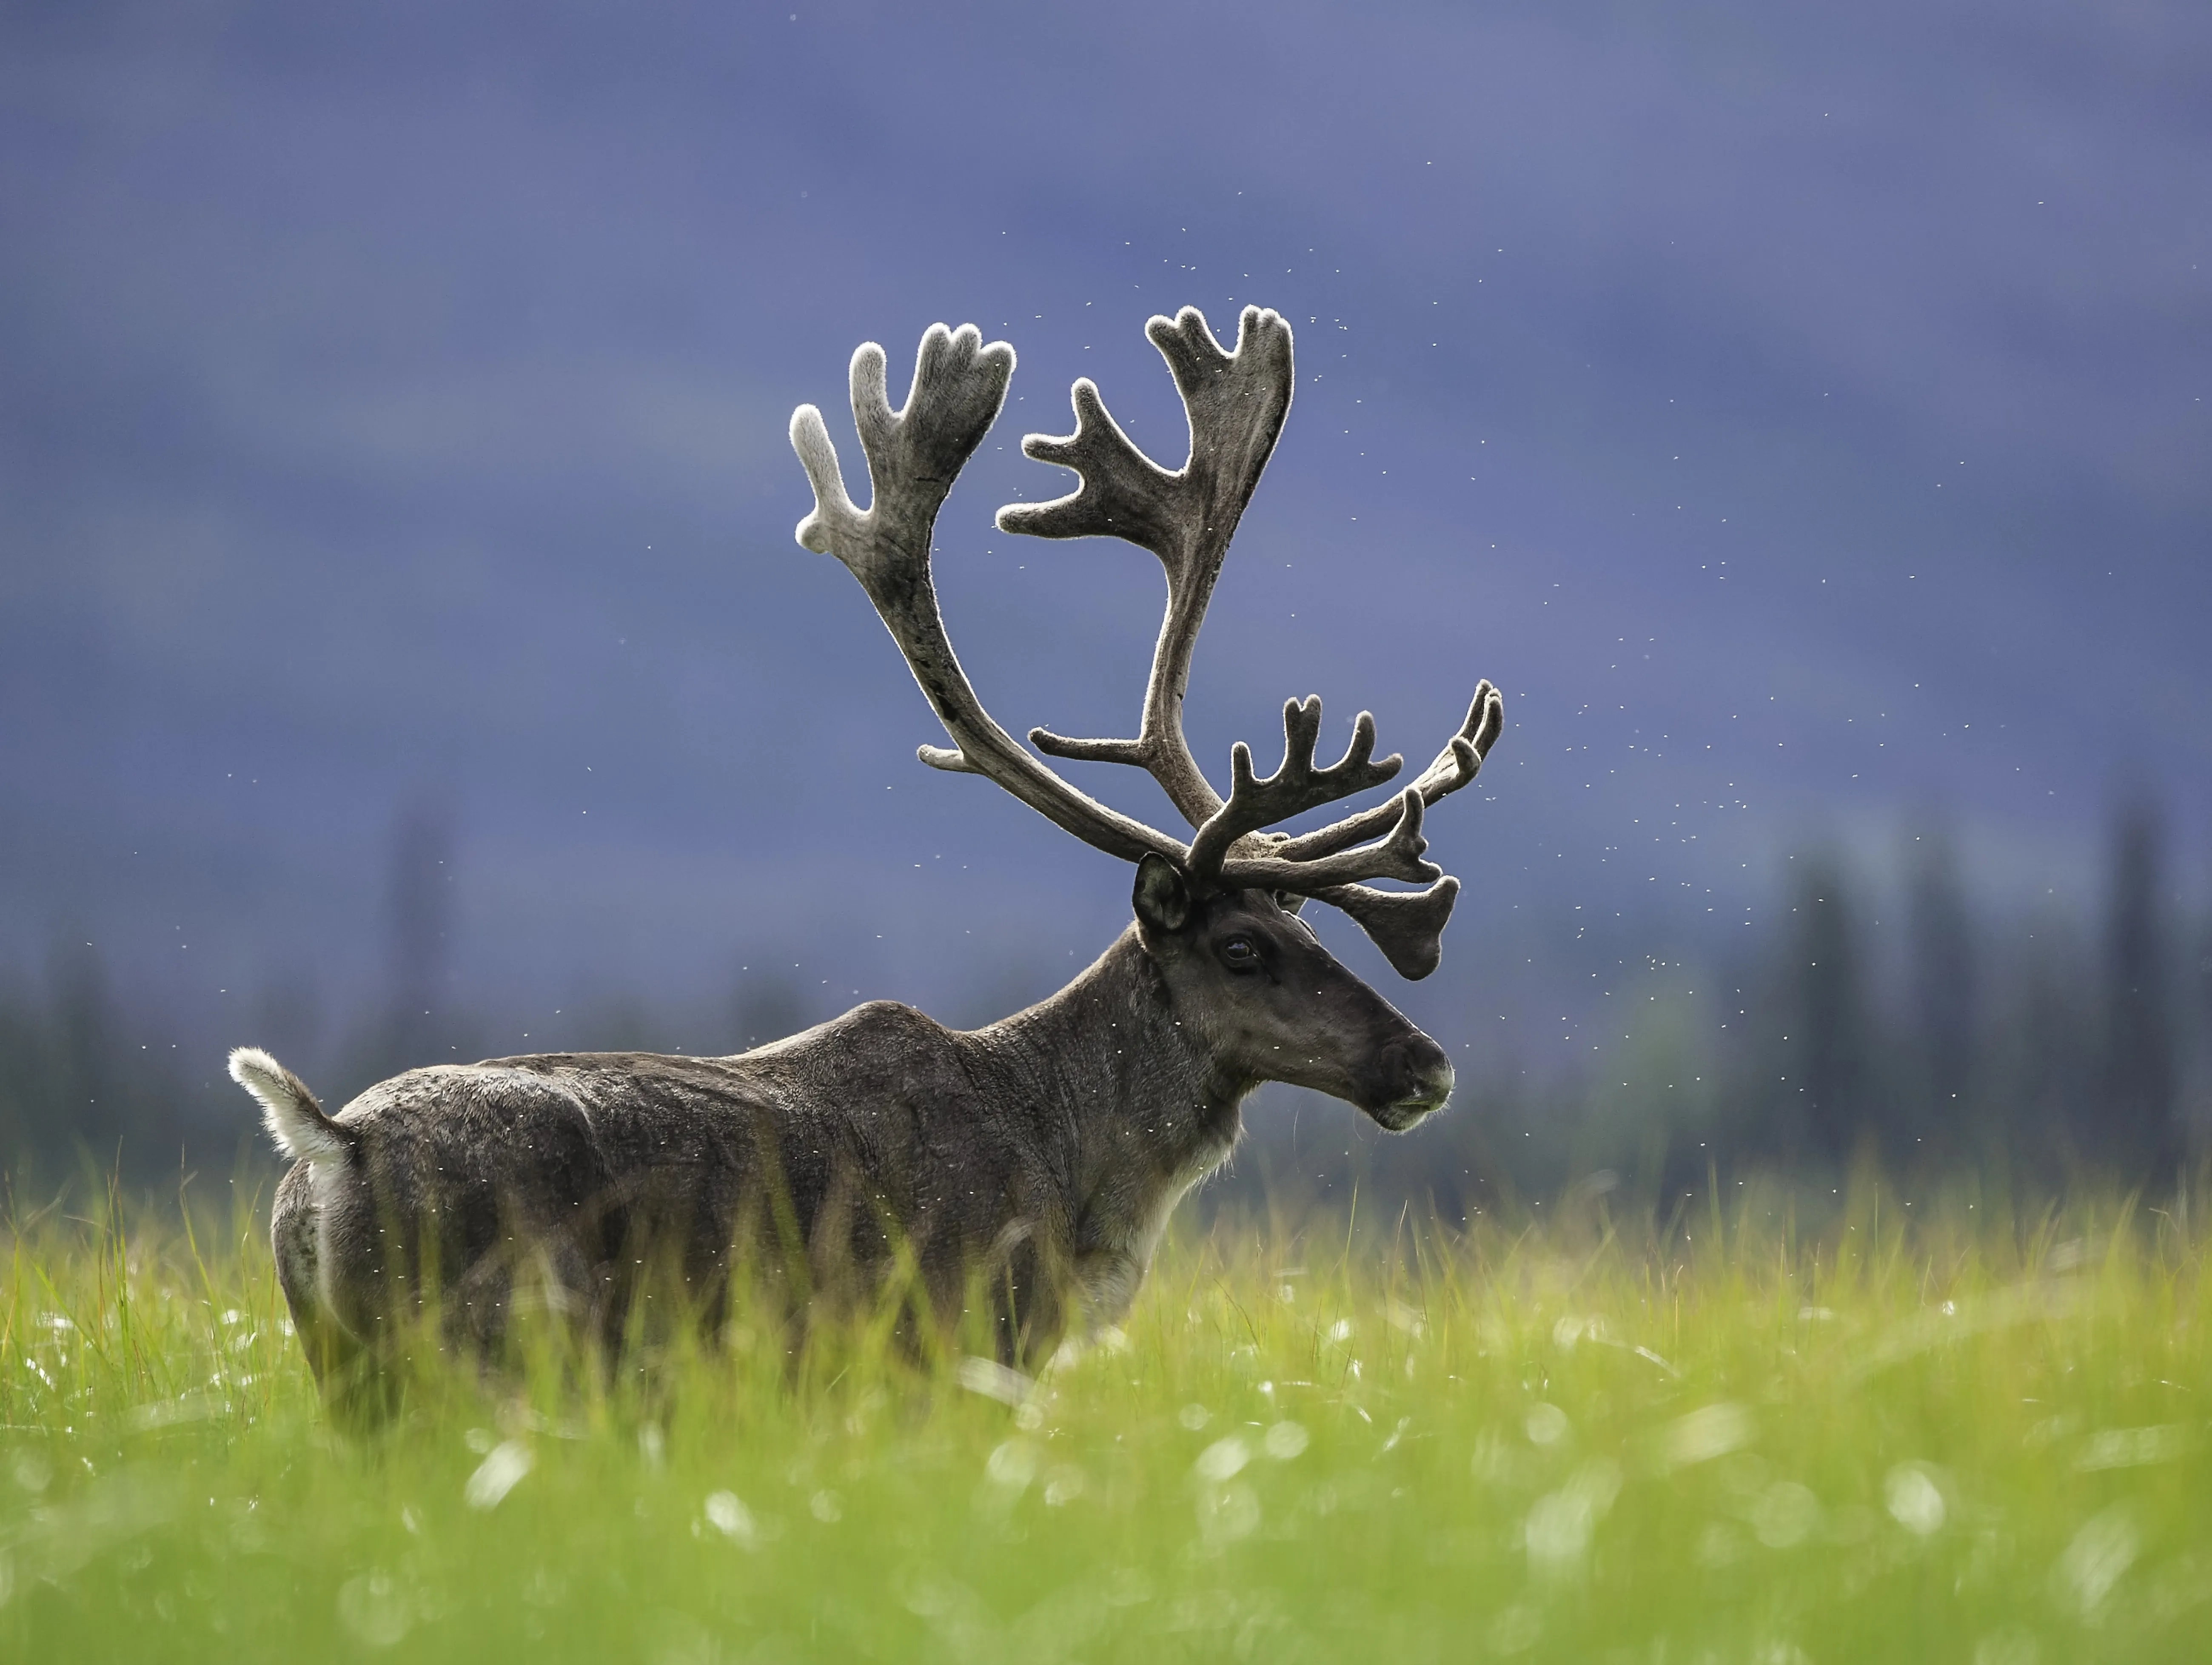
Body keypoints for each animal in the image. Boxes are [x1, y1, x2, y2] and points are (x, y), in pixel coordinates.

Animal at [228, 303, 1504, 1416]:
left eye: (1312, 928)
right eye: (1241, 948)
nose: (1428, 1064)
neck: (1079, 1174)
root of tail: (330, 1144)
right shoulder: (948, 1354)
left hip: (348, 1373)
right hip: (485, 1361)